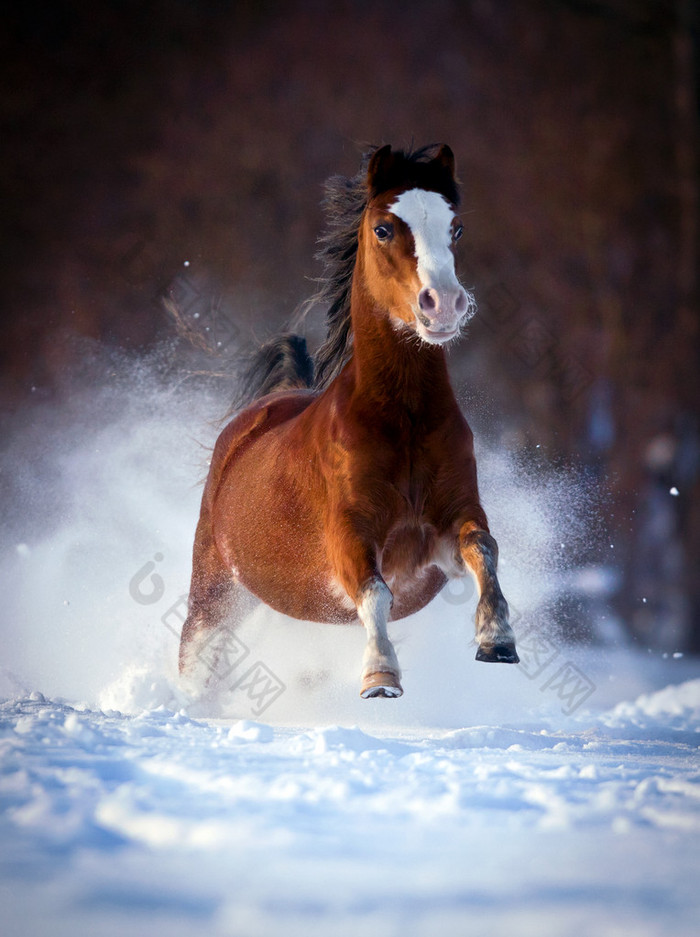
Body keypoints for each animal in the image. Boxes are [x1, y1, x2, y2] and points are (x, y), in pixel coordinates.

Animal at [179, 143, 520, 700]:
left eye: (457, 228)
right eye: (383, 228)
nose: (444, 305)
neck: (404, 426)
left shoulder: (445, 536)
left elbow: (483, 549)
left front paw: (498, 640)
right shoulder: (348, 539)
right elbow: (373, 592)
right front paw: (380, 675)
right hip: (214, 589)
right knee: (194, 654)